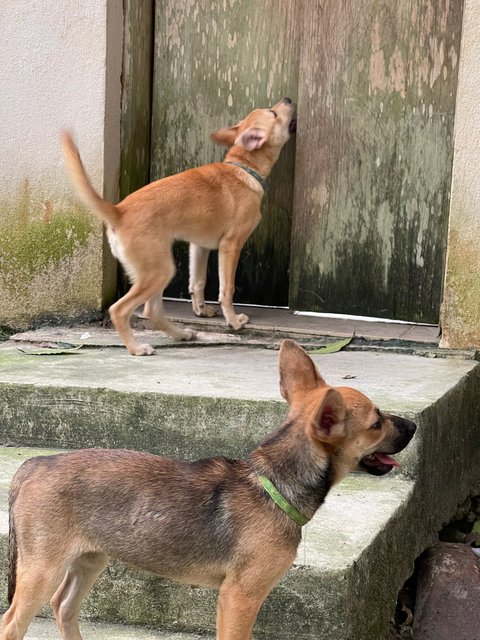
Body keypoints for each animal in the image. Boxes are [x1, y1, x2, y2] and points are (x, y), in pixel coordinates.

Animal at [0, 340, 416, 640]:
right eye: (376, 423)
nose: (413, 426)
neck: (274, 485)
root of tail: (32, 467)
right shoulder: (239, 598)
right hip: (42, 569)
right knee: (12, 624)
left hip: (88, 559)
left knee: (64, 606)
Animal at [60, 99, 296, 356]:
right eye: (273, 113)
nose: (287, 99)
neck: (243, 167)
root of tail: (119, 211)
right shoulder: (231, 245)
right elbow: (227, 288)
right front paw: (233, 321)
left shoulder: (199, 246)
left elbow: (197, 281)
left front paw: (201, 310)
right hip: (159, 271)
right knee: (121, 310)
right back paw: (136, 348)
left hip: (157, 270)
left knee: (152, 311)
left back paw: (181, 334)